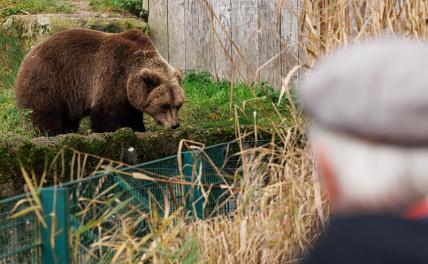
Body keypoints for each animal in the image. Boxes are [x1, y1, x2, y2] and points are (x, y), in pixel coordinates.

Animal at [14, 28, 185, 136]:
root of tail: (28, 56)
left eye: (178, 105)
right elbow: (105, 113)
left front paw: (138, 129)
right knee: (44, 113)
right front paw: (110, 132)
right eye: (164, 105)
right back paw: (50, 133)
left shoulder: (129, 94)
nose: (174, 124)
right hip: (49, 81)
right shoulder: (112, 74)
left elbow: (132, 115)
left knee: (69, 118)